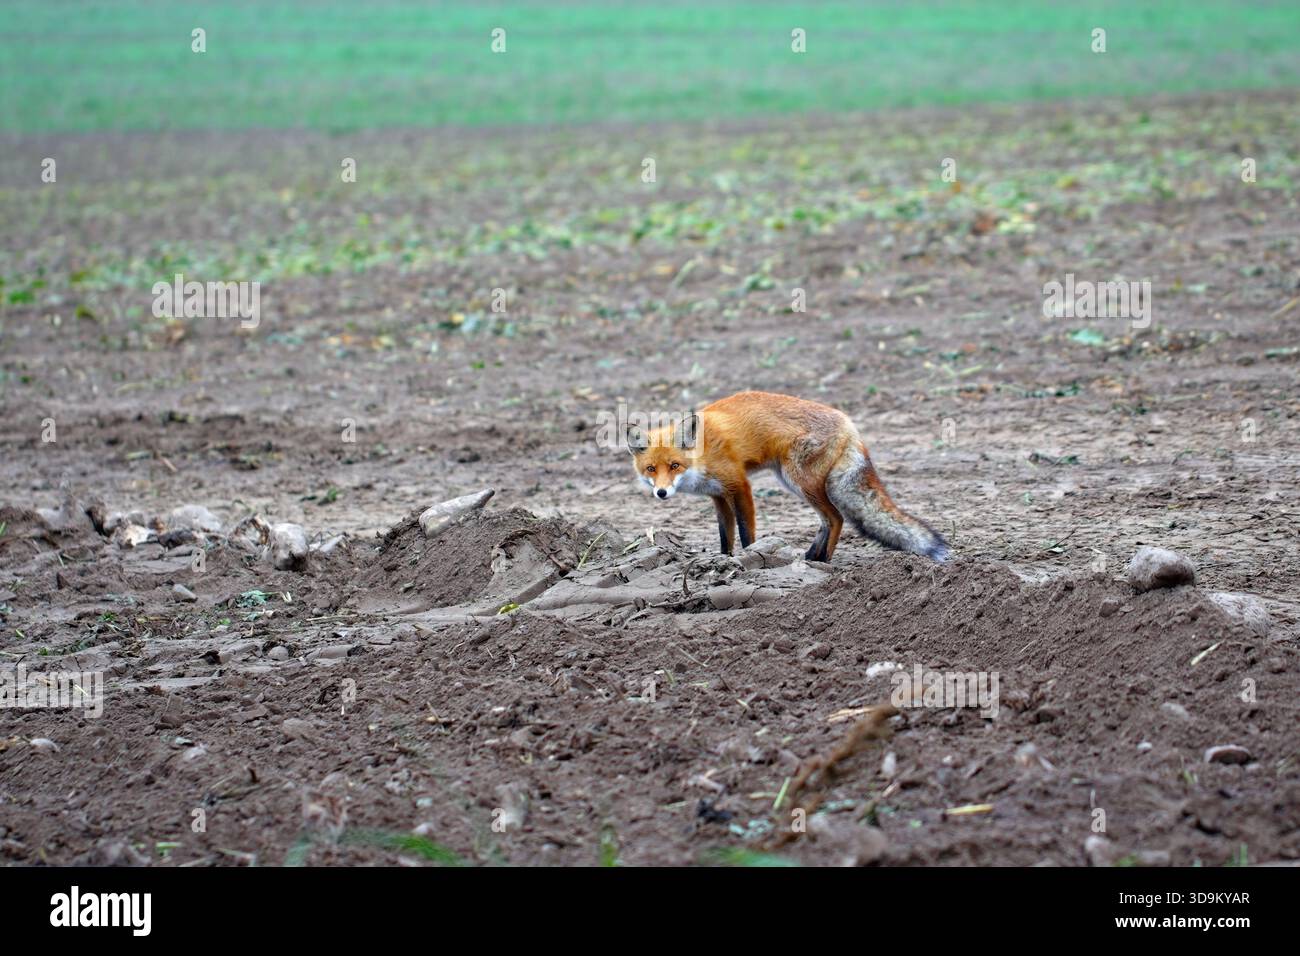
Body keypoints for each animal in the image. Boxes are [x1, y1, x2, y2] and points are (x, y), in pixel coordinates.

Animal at [626, 391, 949, 563]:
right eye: (651, 469)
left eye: (675, 465)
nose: (662, 493)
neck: (702, 454)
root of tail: (848, 423)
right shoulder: (718, 495)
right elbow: (725, 536)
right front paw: (724, 560)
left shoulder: (739, 485)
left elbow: (745, 533)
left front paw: (749, 558)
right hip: (791, 481)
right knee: (827, 520)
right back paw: (812, 556)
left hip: (799, 480)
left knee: (836, 518)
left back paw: (824, 561)